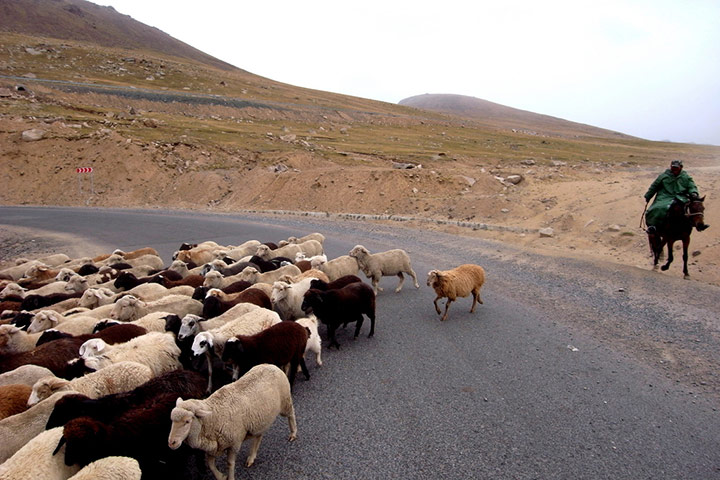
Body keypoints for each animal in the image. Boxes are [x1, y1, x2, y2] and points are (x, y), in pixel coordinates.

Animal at [168, 363, 297, 480]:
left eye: (187, 421)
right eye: (172, 420)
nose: (171, 443)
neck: (213, 416)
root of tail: (272, 365)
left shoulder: (234, 444)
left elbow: (230, 464)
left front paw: (229, 477)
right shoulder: (215, 446)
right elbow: (210, 464)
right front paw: (221, 476)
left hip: (285, 401)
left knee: (291, 414)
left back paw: (293, 433)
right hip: (260, 419)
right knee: (258, 436)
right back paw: (251, 457)